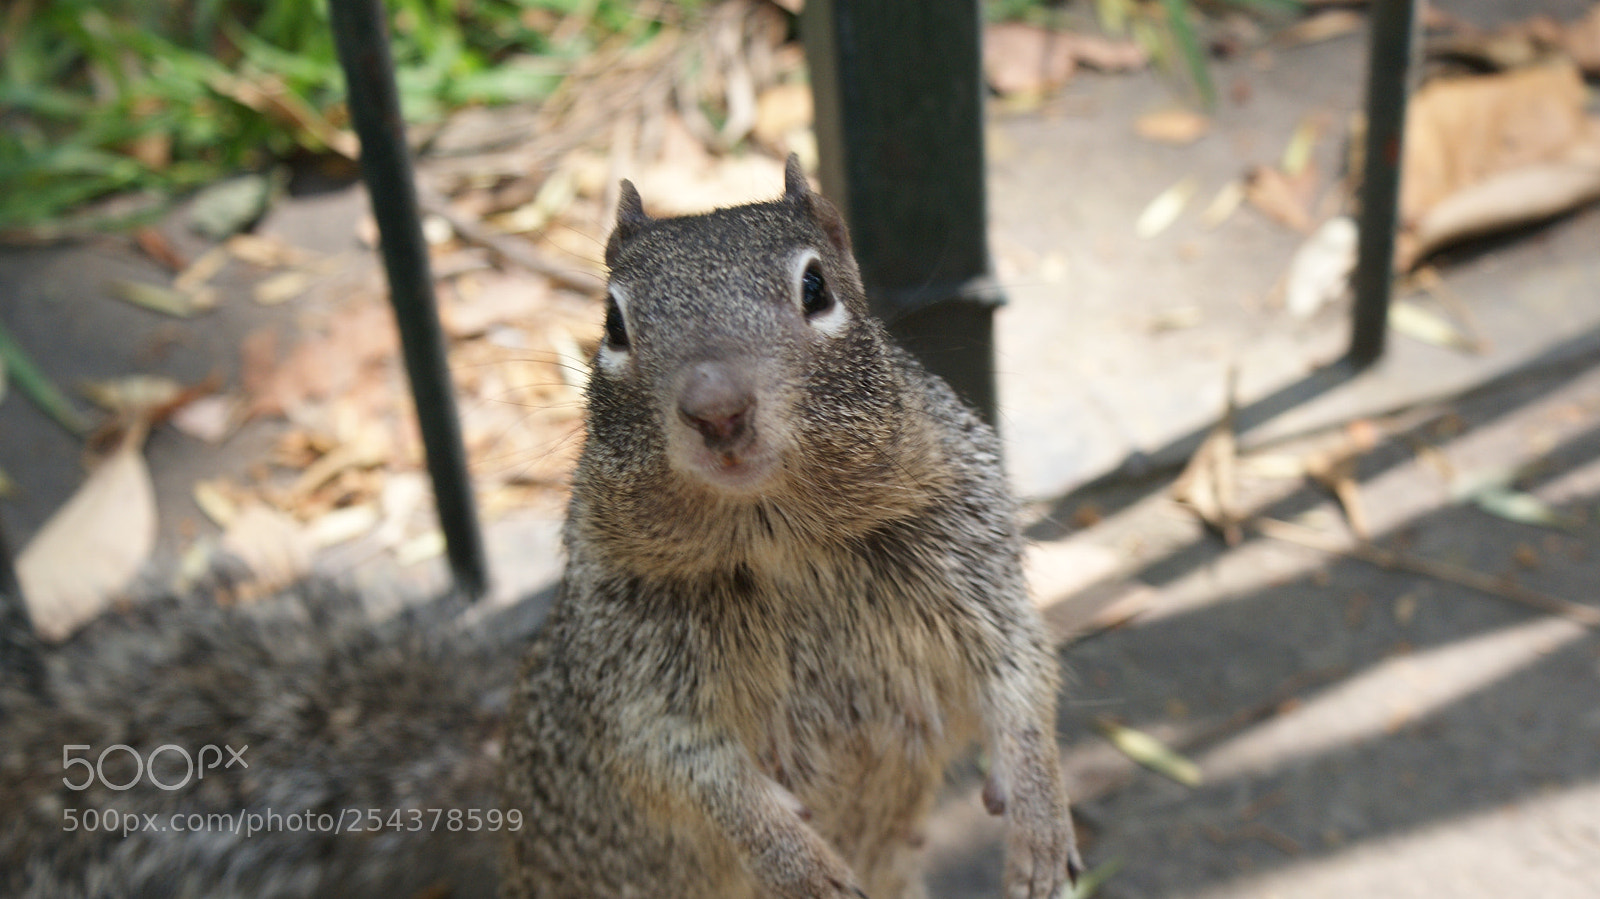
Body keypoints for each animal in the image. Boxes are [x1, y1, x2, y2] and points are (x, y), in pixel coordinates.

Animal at [499, 156, 1081, 899]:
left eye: (816, 287)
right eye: (613, 323)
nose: (716, 410)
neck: (778, 536)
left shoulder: (974, 555)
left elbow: (1021, 676)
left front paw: (1040, 826)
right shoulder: (626, 659)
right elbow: (687, 769)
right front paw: (800, 866)